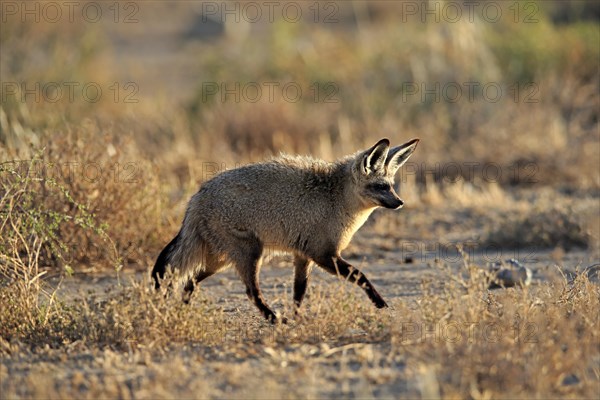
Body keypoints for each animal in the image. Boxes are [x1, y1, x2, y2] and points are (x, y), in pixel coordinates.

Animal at [152, 138, 420, 322]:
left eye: (392, 186)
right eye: (381, 186)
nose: (400, 202)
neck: (336, 198)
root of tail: (197, 197)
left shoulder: (303, 256)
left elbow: (298, 293)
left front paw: (298, 318)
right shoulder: (324, 255)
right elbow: (361, 276)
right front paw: (379, 302)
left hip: (219, 260)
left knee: (189, 281)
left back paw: (184, 310)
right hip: (250, 254)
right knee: (250, 291)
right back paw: (273, 318)